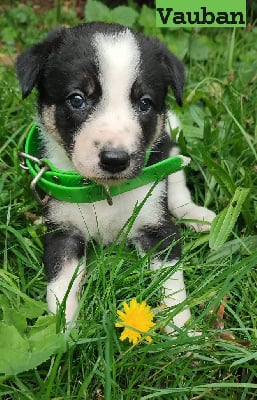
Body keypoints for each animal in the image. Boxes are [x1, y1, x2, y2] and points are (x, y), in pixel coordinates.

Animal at [16, 21, 214, 330]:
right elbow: (60, 290)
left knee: (177, 178)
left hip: (170, 143)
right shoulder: (63, 233)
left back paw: (195, 213)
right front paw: (63, 333)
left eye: (144, 103)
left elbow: (172, 289)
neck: (105, 191)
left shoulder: (159, 230)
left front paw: (184, 334)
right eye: (77, 99)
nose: (115, 159)